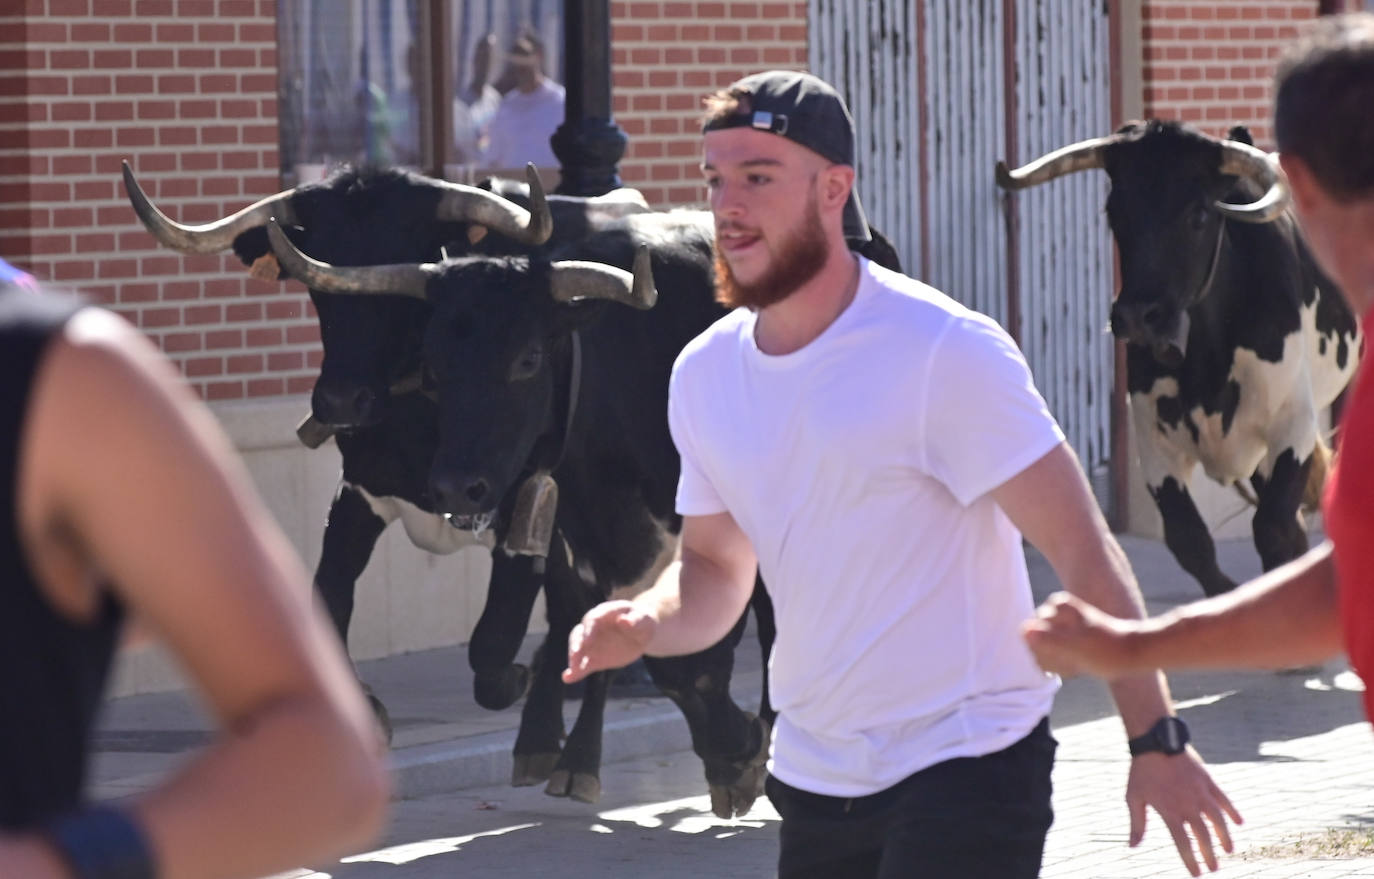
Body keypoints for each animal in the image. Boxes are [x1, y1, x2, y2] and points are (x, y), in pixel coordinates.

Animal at [265, 207, 785, 818]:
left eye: (529, 358)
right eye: (433, 366)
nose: (454, 488)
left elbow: (684, 655)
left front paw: (739, 751)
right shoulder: (570, 534)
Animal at [1000, 118, 1363, 598]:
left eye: (1199, 215)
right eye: (1115, 212)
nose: (1138, 315)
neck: (1208, 354)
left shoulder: (1293, 423)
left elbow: (1273, 529)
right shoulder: (1154, 440)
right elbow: (1189, 539)